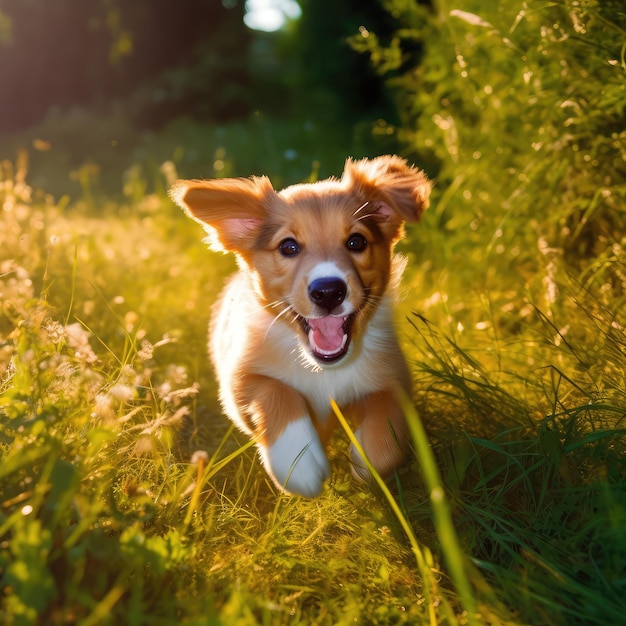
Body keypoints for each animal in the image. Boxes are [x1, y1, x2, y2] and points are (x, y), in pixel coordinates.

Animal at [173, 154, 432, 494]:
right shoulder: (239, 379)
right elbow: (276, 391)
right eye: (288, 247)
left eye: (357, 241)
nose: (328, 291)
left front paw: (364, 462)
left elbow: (385, 438)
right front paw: (299, 461)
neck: (323, 370)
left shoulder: (393, 378)